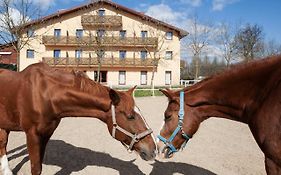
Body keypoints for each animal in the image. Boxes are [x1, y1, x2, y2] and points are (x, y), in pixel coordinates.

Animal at [0, 62, 156, 174]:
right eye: (130, 116)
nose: (153, 150)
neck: (44, 93)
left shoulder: (45, 135)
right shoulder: (32, 135)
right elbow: (36, 168)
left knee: (3, 143)